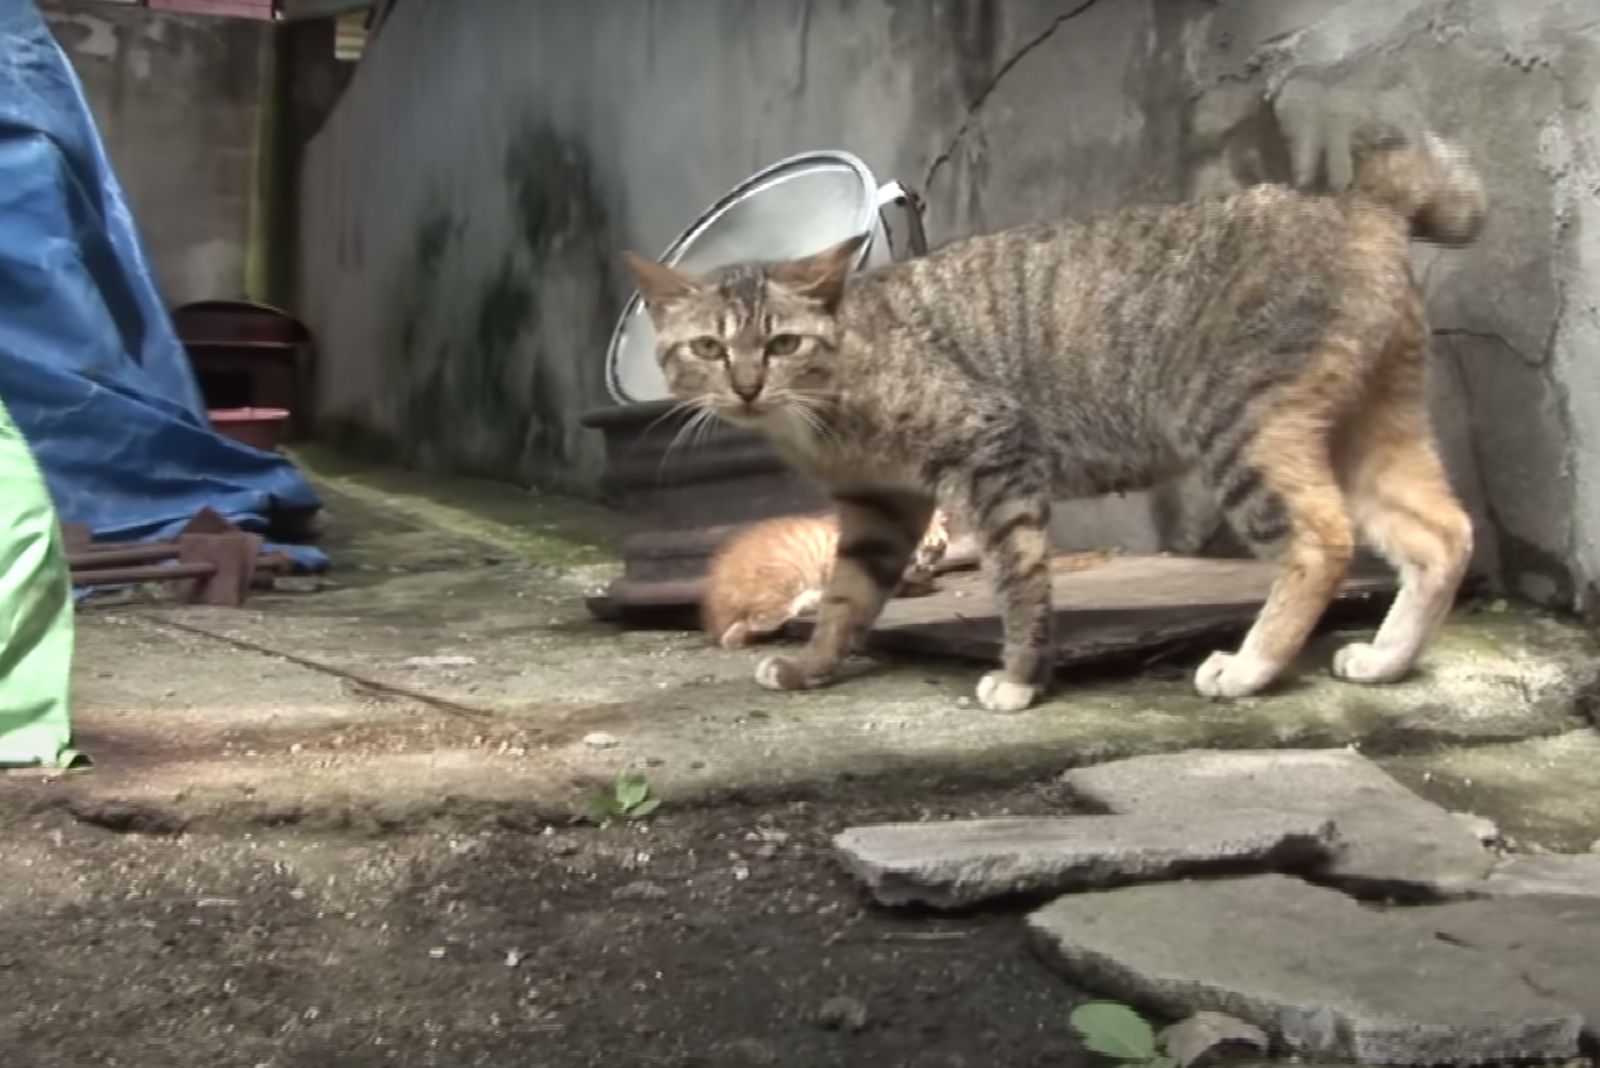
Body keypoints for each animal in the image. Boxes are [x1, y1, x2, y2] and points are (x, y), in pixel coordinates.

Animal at [624, 127, 1484, 709]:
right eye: (707, 347)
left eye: (783, 343)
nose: (744, 386)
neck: (842, 369)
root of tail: (1361, 205)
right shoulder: (879, 508)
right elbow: (844, 600)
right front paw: (811, 668)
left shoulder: (991, 454)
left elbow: (1019, 580)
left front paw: (1018, 678)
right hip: (1373, 426)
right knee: (1442, 534)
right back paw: (1386, 659)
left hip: (1242, 427)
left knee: (1320, 538)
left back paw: (1249, 667)